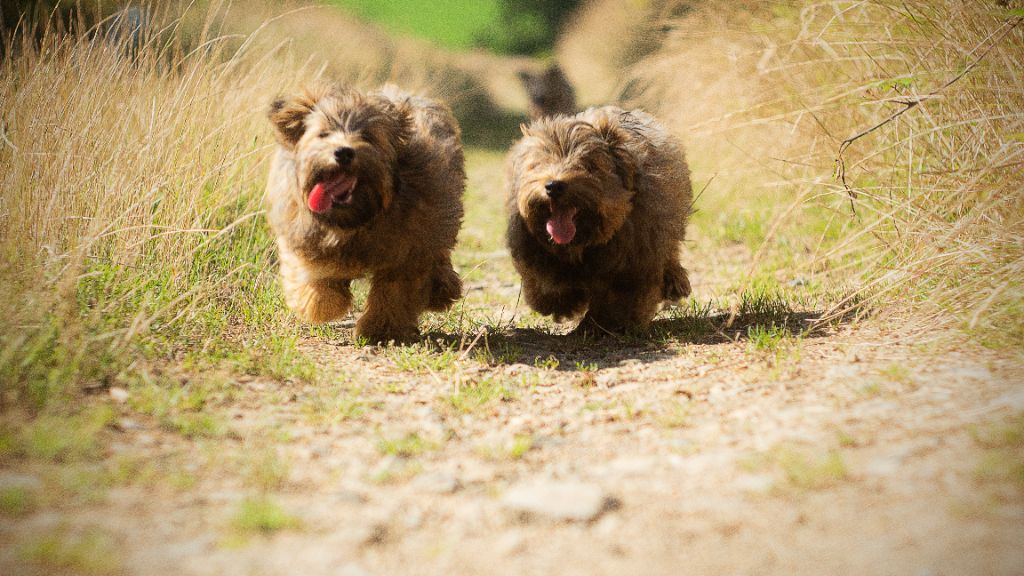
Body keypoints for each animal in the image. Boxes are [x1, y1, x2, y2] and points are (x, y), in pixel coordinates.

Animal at [268, 84, 468, 342]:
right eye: (324, 134)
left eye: (367, 136)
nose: (343, 152)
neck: (357, 217)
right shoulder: (304, 233)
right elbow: (316, 274)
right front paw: (324, 302)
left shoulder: (408, 248)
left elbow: (394, 292)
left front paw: (381, 329)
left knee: (438, 259)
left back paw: (442, 289)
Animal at [505, 105, 692, 334]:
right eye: (538, 165)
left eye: (589, 165)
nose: (553, 186)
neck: (581, 243)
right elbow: (546, 283)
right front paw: (561, 302)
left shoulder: (638, 254)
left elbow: (622, 296)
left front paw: (606, 324)